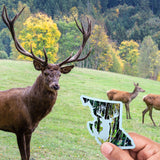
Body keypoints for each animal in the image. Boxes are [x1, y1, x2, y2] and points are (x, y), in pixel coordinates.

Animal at [0, 5, 91, 159]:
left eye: (59, 75)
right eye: (46, 73)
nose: (56, 85)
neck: (32, 114)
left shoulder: (29, 130)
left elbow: (28, 155)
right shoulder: (18, 128)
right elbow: (24, 156)